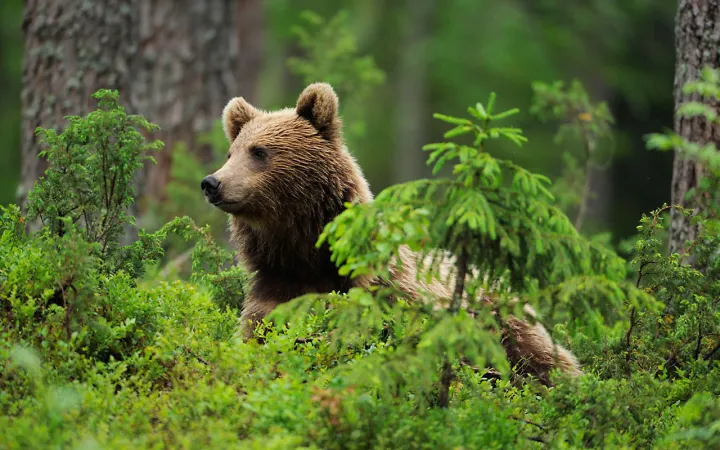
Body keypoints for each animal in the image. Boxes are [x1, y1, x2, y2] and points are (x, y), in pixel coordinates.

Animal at [201, 82, 582, 383]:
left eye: (259, 152)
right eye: (231, 152)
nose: (212, 183)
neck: (308, 253)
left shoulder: (388, 293)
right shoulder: (275, 292)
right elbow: (260, 341)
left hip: (504, 322)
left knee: (545, 360)